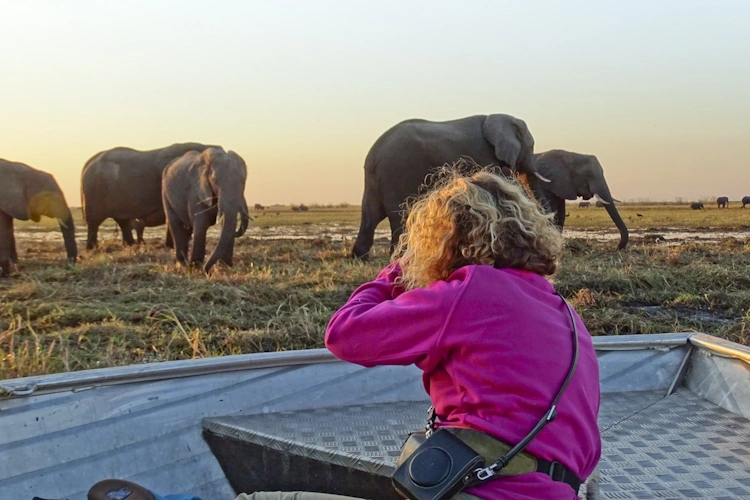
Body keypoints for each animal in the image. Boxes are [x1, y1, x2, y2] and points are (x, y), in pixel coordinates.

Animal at [83, 142, 217, 249]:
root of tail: (88, 162)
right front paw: (171, 247)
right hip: (94, 192)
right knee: (94, 221)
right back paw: (92, 248)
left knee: (122, 220)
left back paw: (130, 245)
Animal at [352, 114, 548, 258]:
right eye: (531, 146)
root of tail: (374, 154)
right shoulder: (485, 155)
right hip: (398, 172)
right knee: (400, 217)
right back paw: (398, 258)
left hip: (376, 179)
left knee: (370, 216)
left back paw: (360, 257)